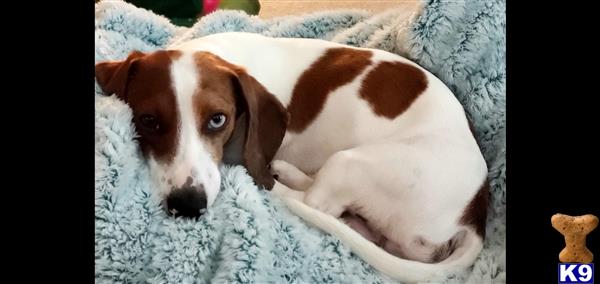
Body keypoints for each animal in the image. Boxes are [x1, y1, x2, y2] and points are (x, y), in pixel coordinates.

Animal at [95, 31, 488, 282]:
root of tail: (473, 214)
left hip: (349, 163)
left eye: (218, 119)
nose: (188, 205)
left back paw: (281, 180)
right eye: (148, 120)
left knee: (316, 203)